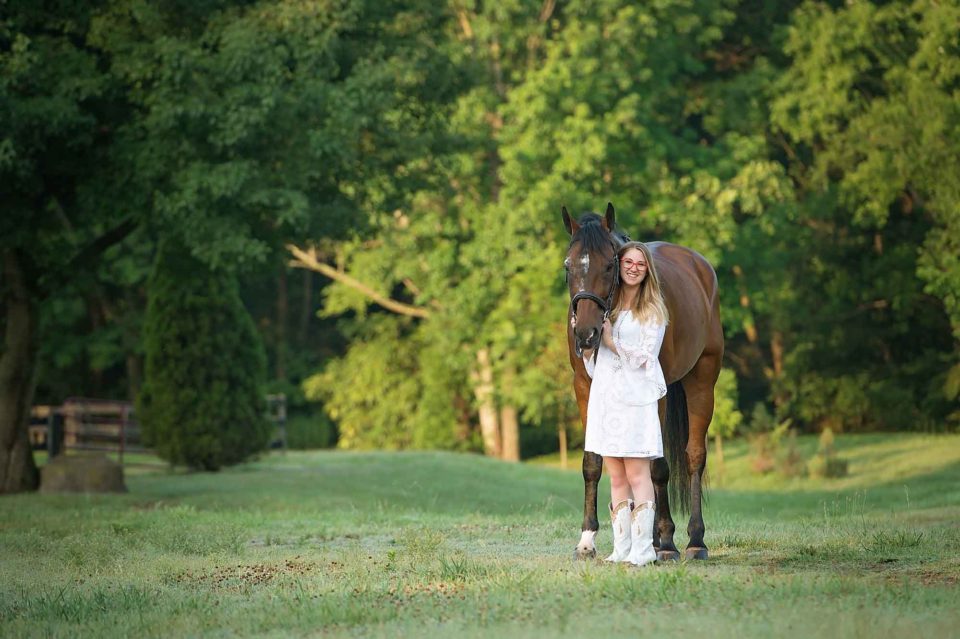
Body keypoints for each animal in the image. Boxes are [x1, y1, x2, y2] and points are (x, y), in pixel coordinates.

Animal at [560, 204, 724, 560]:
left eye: (610, 265)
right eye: (568, 265)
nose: (586, 335)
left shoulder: (656, 394)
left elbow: (658, 466)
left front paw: (667, 541)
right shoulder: (584, 388)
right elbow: (593, 462)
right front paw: (587, 539)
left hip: (702, 380)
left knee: (693, 457)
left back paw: (693, 540)